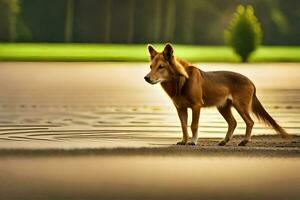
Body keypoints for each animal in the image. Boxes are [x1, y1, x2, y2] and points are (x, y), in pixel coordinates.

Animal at [144, 43, 290, 145]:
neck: (180, 81)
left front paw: (193, 141)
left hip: (240, 105)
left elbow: (193, 125)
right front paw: (184, 141)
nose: (146, 78)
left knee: (249, 122)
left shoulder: (196, 106)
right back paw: (224, 141)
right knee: (233, 123)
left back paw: (244, 141)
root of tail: (251, 81)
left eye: (161, 67)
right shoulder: (180, 108)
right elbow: (184, 126)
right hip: (223, 107)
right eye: (150, 66)